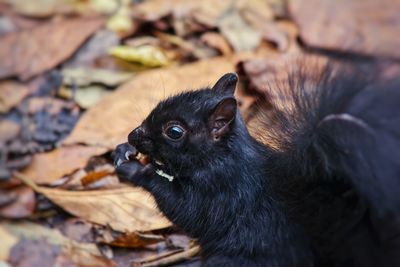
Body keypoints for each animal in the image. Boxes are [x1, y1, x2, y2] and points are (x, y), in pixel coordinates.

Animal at [111, 61, 400, 266]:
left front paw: (138, 171)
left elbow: (187, 210)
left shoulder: (223, 189)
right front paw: (123, 152)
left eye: (174, 132)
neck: (223, 156)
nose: (133, 135)